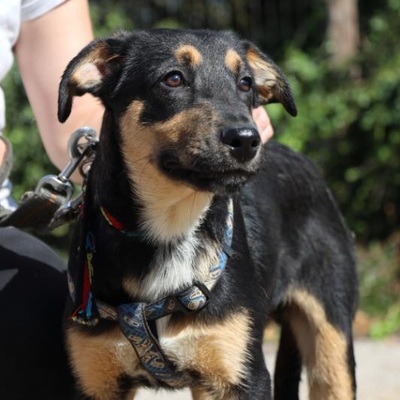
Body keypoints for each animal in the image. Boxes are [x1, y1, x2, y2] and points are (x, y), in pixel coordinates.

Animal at [58, 29, 360, 398]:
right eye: (173, 78)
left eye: (245, 83)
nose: (247, 140)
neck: (172, 228)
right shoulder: (94, 380)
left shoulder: (241, 375)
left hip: (332, 336)